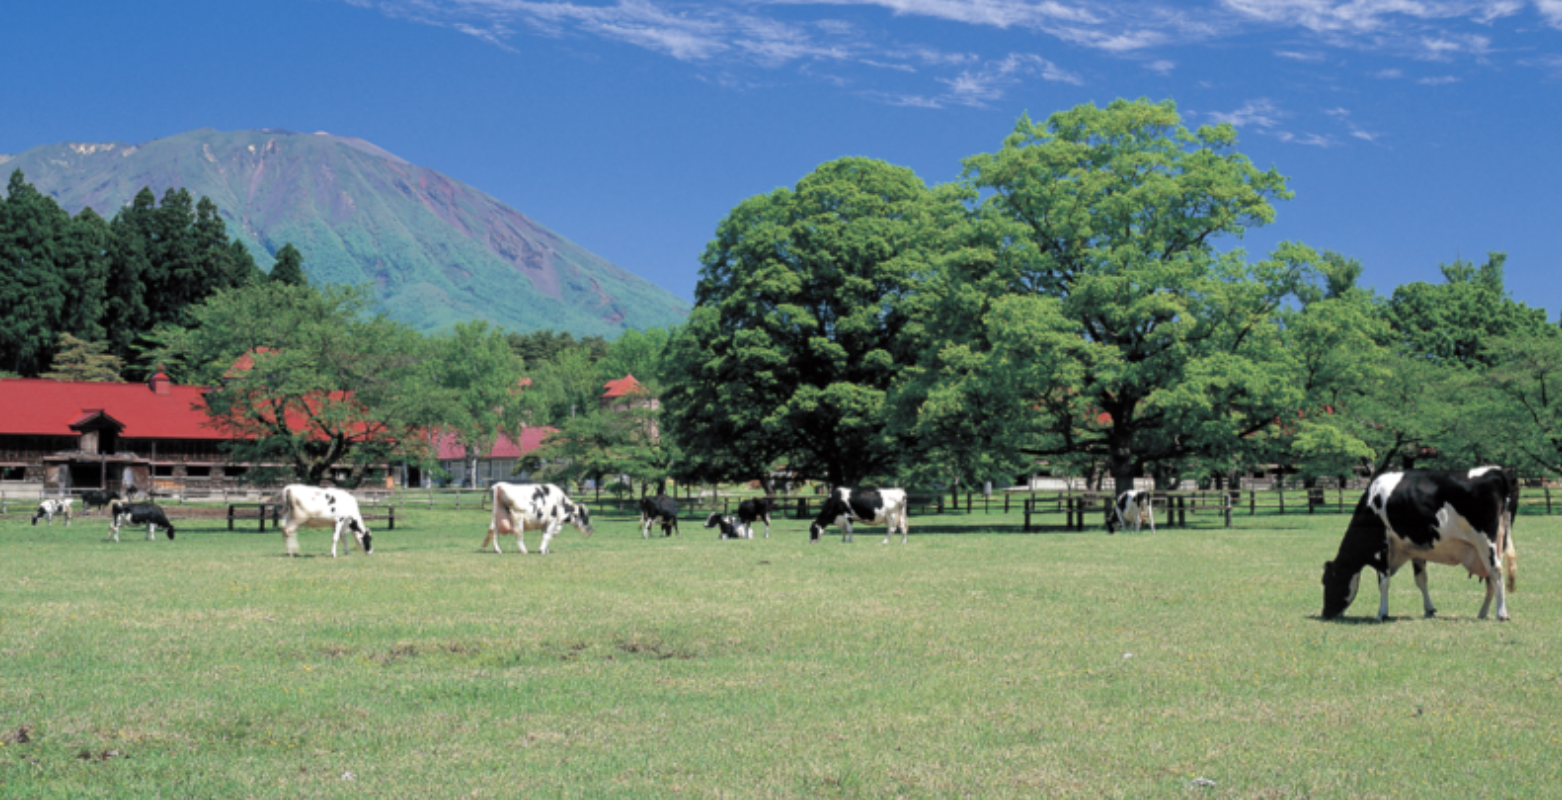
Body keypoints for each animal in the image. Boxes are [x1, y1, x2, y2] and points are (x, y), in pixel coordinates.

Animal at [1324, 468, 1518, 625]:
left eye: (1327, 581)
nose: (1325, 614)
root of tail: (1498, 472)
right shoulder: (1416, 549)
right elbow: (1421, 580)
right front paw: (1429, 610)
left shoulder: (1381, 548)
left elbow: (1383, 582)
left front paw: (1382, 614)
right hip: (1496, 544)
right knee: (1490, 579)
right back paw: (1483, 613)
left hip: (1485, 542)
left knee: (1496, 573)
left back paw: (1502, 614)